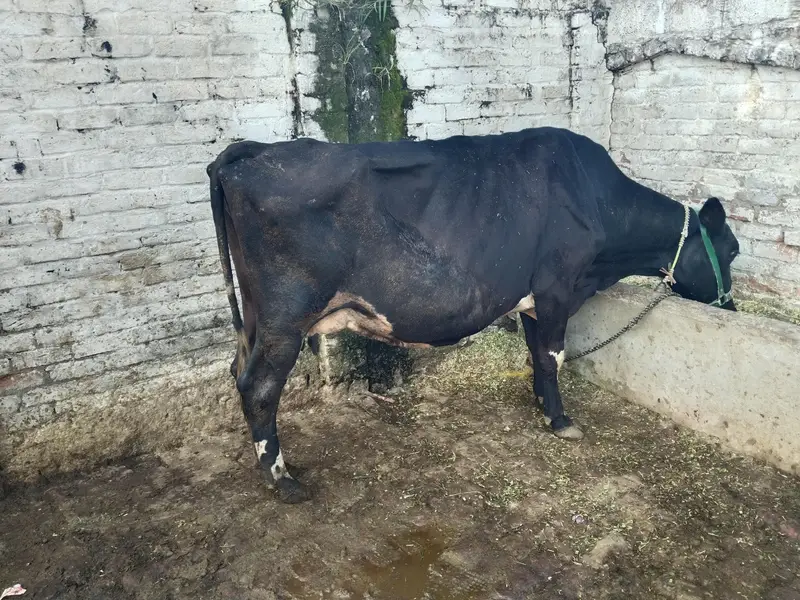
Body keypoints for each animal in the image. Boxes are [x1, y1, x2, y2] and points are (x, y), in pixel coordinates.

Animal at [207, 126, 739, 503]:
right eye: (733, 250)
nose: (732, 306)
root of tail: (249, 151)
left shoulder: (532, 299)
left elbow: (536, 354)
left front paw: (540, 403)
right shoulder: (557, 288)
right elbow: (554, 355)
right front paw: (561, 419)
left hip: (255, 317)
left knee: (238, 368)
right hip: (284, 316)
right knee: (259, 386)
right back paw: (282, 480)